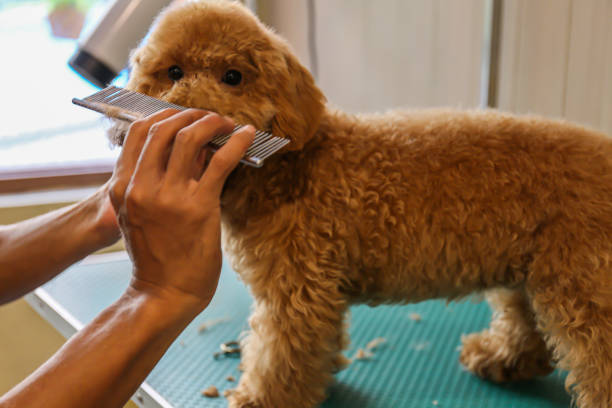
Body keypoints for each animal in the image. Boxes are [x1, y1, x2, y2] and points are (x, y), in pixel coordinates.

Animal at [122, 0, 612, 408]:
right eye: (174, 71)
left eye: (233, 77)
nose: (194, 115)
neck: (288, 164)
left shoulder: (297, 290)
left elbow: (279, 355)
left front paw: (262, 398)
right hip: (531, 265)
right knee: (524, 318)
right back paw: (503, 358)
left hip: (580, 280)